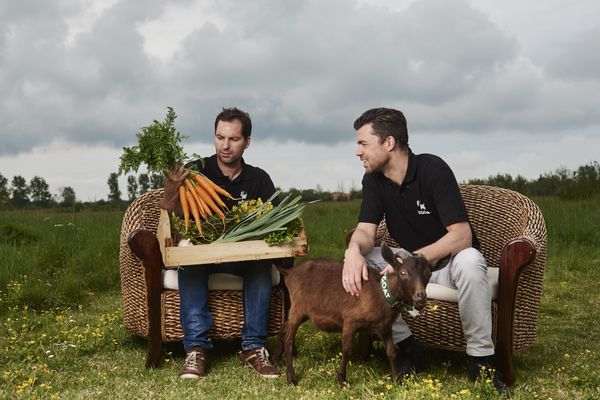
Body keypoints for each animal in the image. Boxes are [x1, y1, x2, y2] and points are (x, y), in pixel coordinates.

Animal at [274, 242, 448, 386]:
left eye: (429, 274)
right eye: (403, 273)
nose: (421, 298)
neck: (382, 295)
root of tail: (289, 273)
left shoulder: (385, 327)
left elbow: (391, 352)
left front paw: (396, 380)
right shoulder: (350, 321)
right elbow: (346, 350)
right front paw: (342, 380)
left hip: (302, 311)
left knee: (283, 328)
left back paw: (277, 362)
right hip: (298, 307)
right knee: (289, 338)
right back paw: (291, 378)